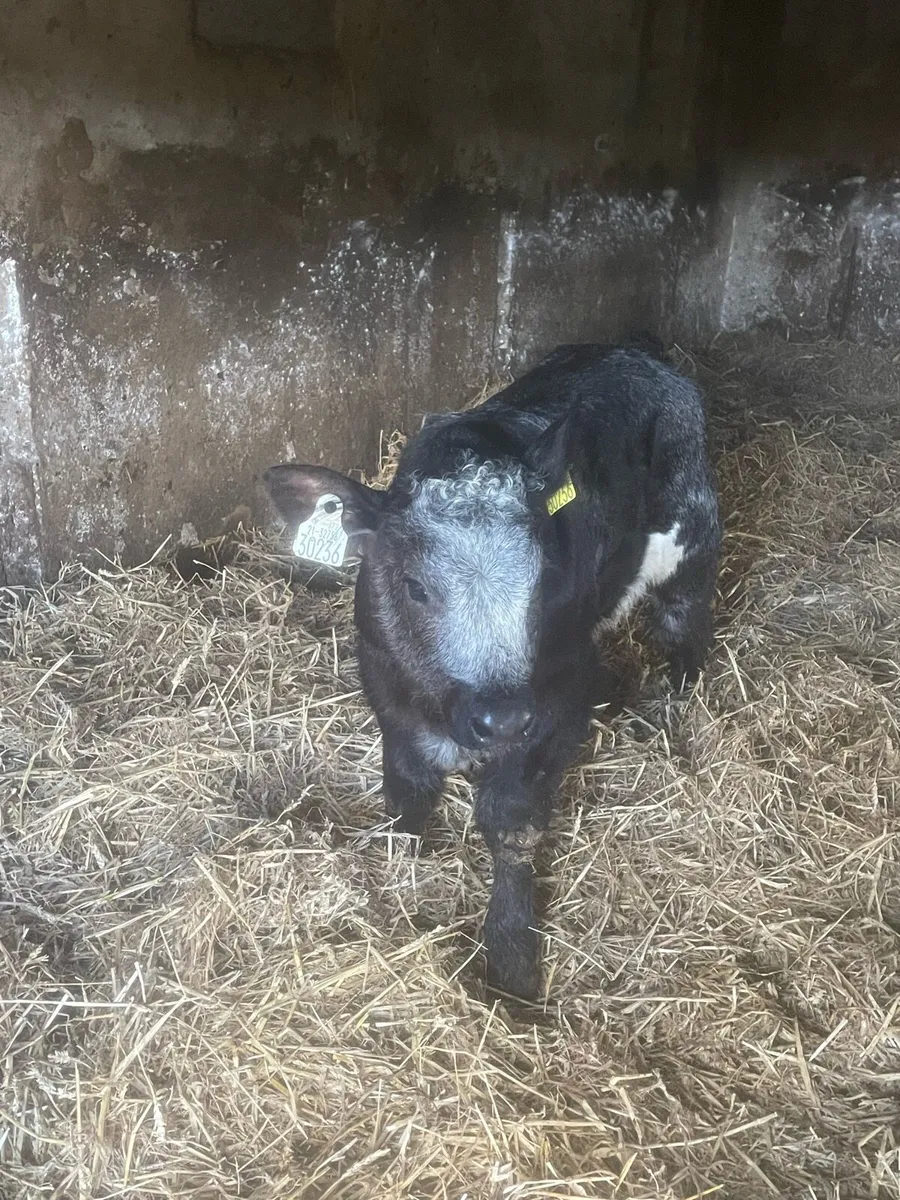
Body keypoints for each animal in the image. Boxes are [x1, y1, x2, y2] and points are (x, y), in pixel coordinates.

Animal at [264, 342, 721, 1001]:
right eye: (414, 586)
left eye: (544, 578)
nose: (500, 718)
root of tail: (641, 352)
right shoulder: (383, 677)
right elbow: (406, 788)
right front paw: (403, 864)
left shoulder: (555, 699)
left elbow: (510, 821)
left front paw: (509, 956)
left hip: (694, 534)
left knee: (686, 625)